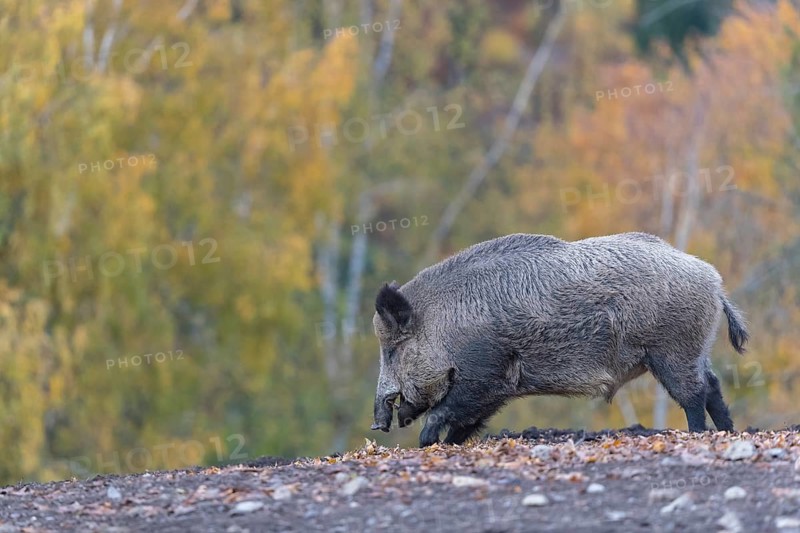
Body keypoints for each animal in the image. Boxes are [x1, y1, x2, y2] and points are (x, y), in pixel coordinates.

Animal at [370, 232, 749, 447]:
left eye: (392, 350)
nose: (377, 423)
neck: (446, 326)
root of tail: (714, 282)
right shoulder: (494, 388)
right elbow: (467, 421)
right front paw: (444, 445)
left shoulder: (486, 374)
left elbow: (450, 411)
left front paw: (425, 443)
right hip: (695, 348)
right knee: (713, 386)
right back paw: (727, 432)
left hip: (673, 350)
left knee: (695, 394)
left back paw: (698, 434)